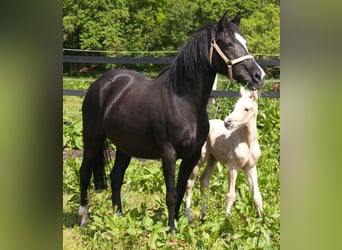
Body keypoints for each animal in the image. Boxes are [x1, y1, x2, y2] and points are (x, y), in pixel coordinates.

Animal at [184, 87, 262, 222]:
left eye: (246, 109)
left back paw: (204, 215)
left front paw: (265, 220)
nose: (227, 122)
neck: (247, 142)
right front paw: (227, 221)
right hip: (200, 159)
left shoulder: (250, 167)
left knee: (204, 182)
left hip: (212, 159)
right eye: (235, 106)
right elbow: (231, 195)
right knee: (190, 183)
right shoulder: (233, 167)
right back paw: (188, 217)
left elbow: (257, 195)